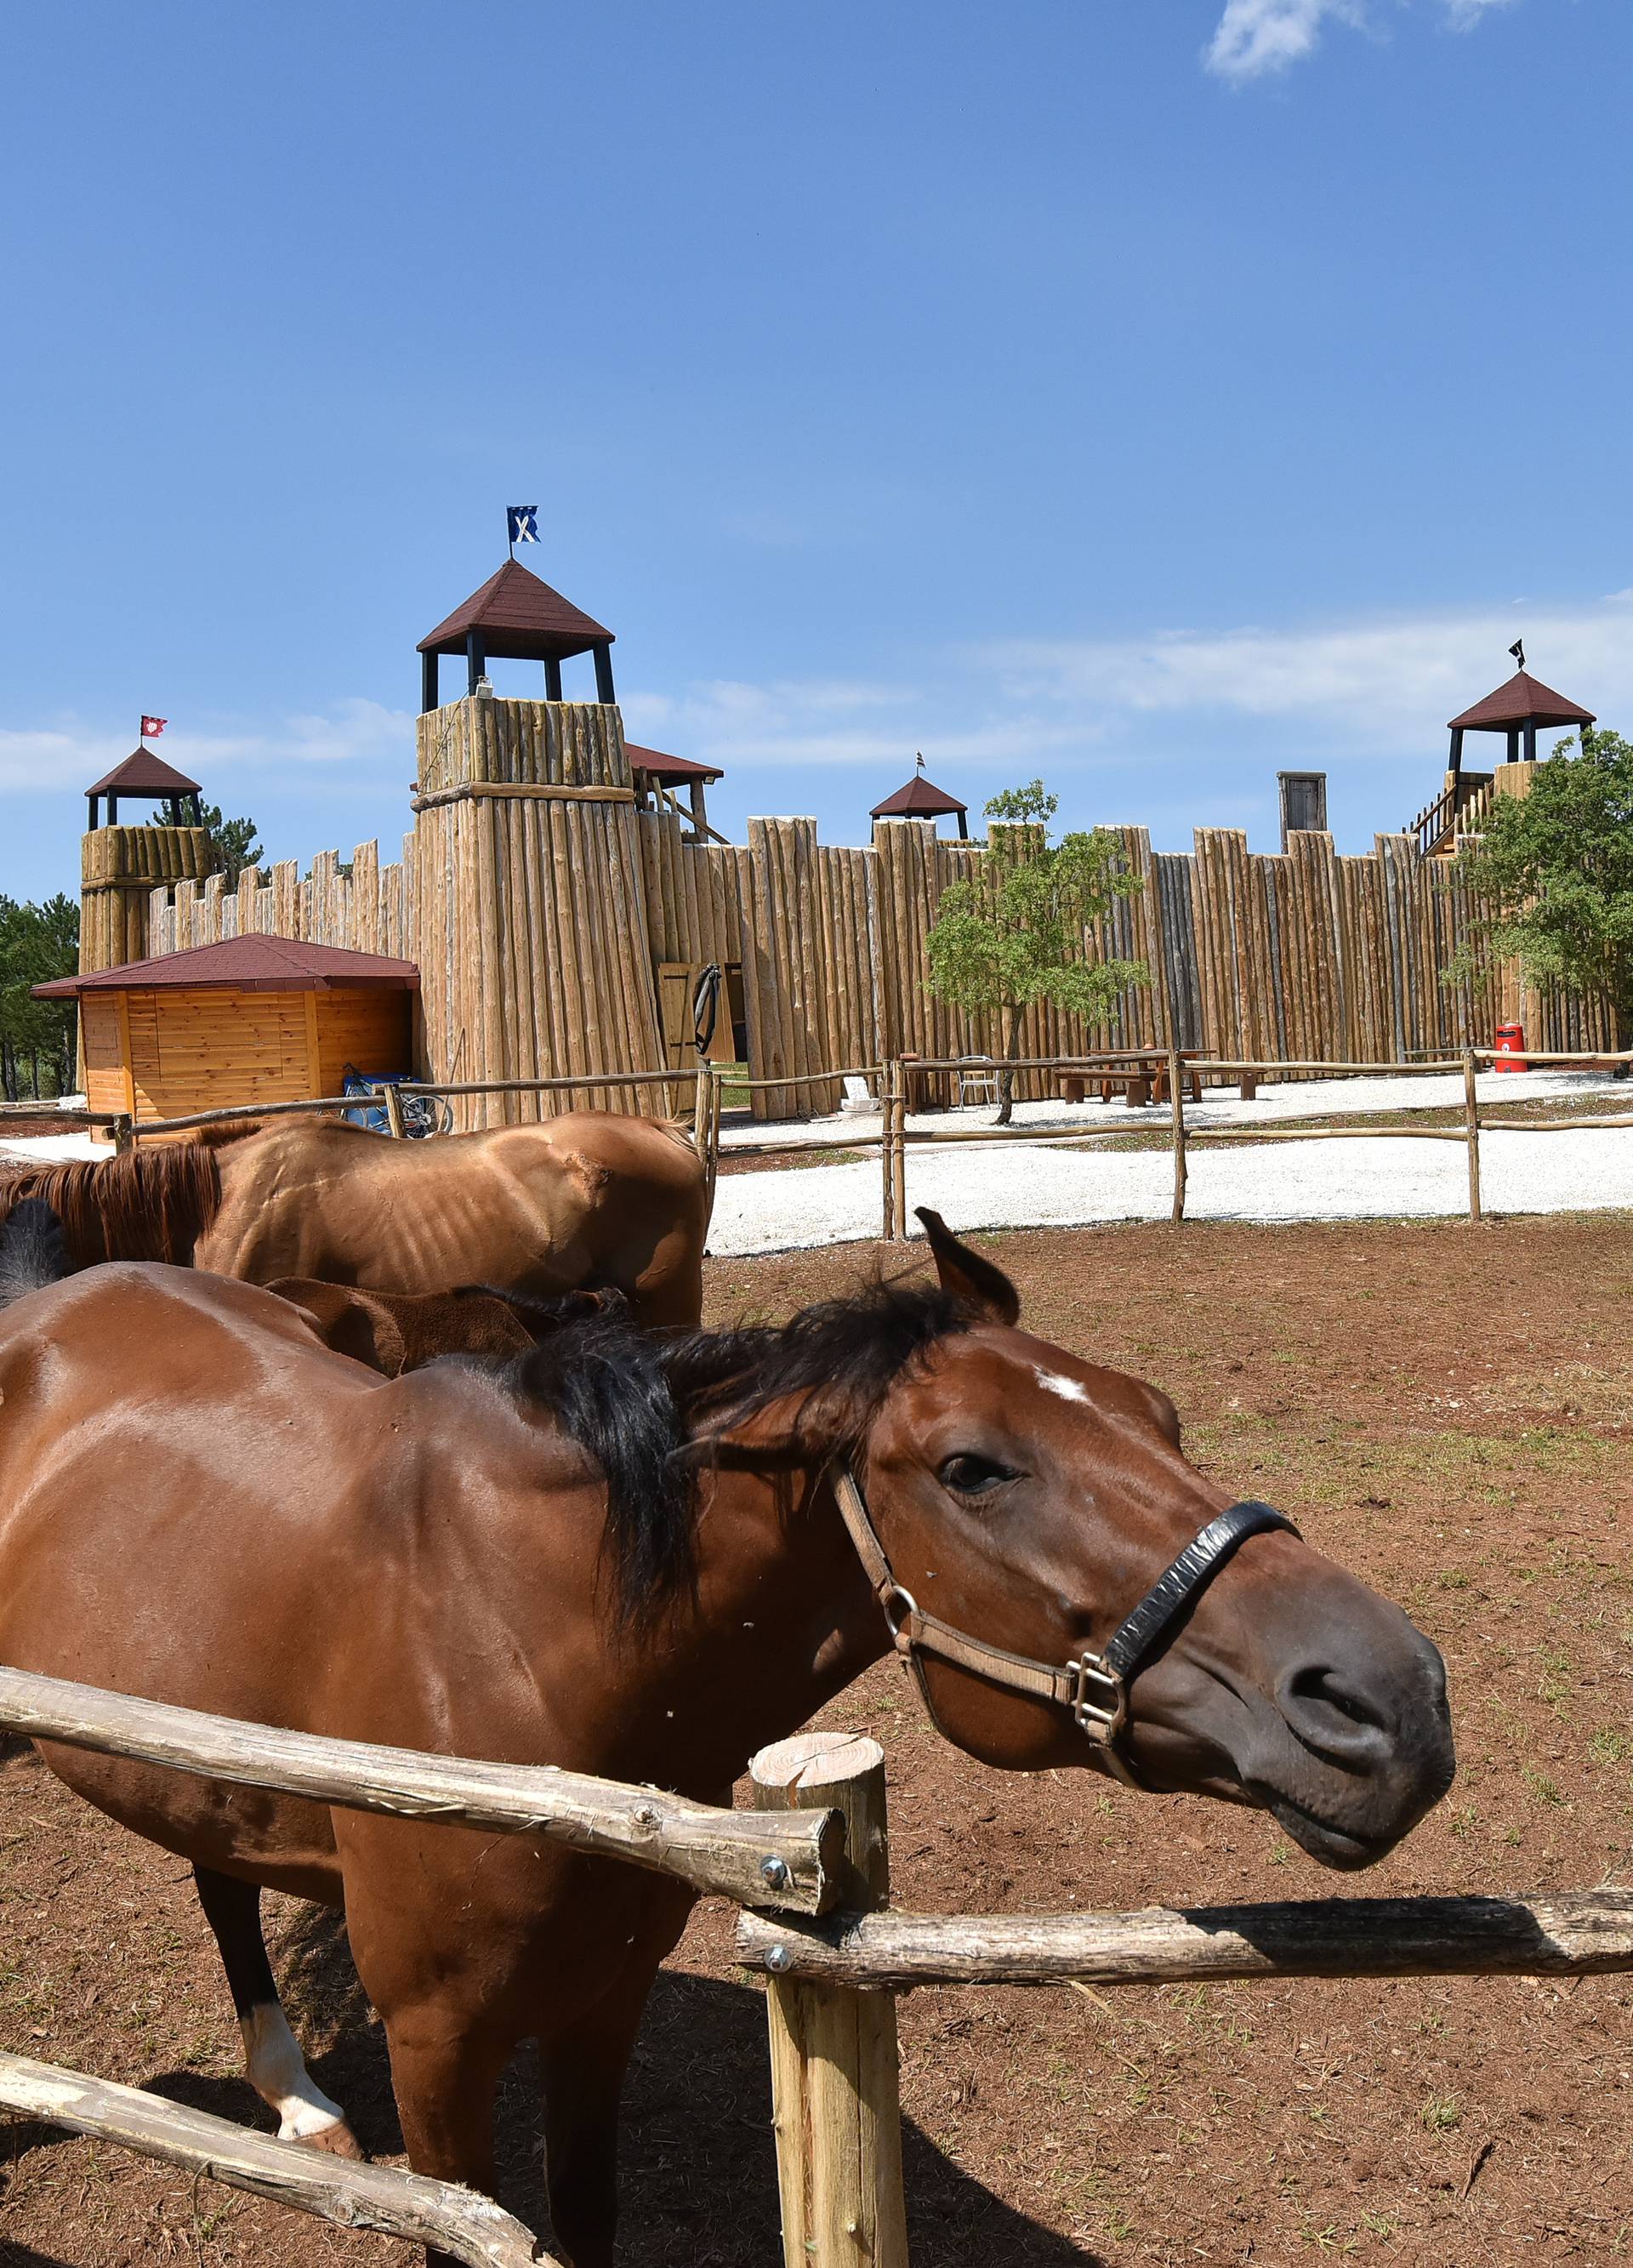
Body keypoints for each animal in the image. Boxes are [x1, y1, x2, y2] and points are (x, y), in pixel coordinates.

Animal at [0, 1215, 1451, 2259]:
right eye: (973, 1467)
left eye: (1158, 1410)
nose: (1396, 1698)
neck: (509, 1641)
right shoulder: (437, 2047)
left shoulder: (603, 1998)